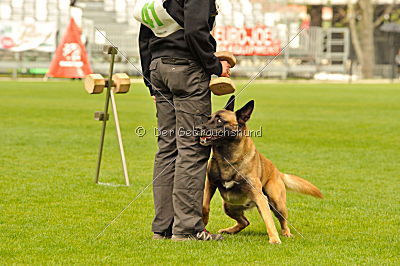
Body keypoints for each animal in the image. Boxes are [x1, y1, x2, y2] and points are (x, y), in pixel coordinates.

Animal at [198, 96, 324, 244]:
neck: (228, 158)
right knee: (245, 222)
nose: (198, 128)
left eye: (219, 120)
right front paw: (203, 222)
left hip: (276, 203)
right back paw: (230, 230)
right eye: (209, 118)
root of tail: (277, 172)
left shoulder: (259, 196)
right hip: (228, 206)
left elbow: (268, 219)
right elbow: (204, 205)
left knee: (282, 221)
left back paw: (286, 233)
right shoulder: (210, 184)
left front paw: (274, 239)